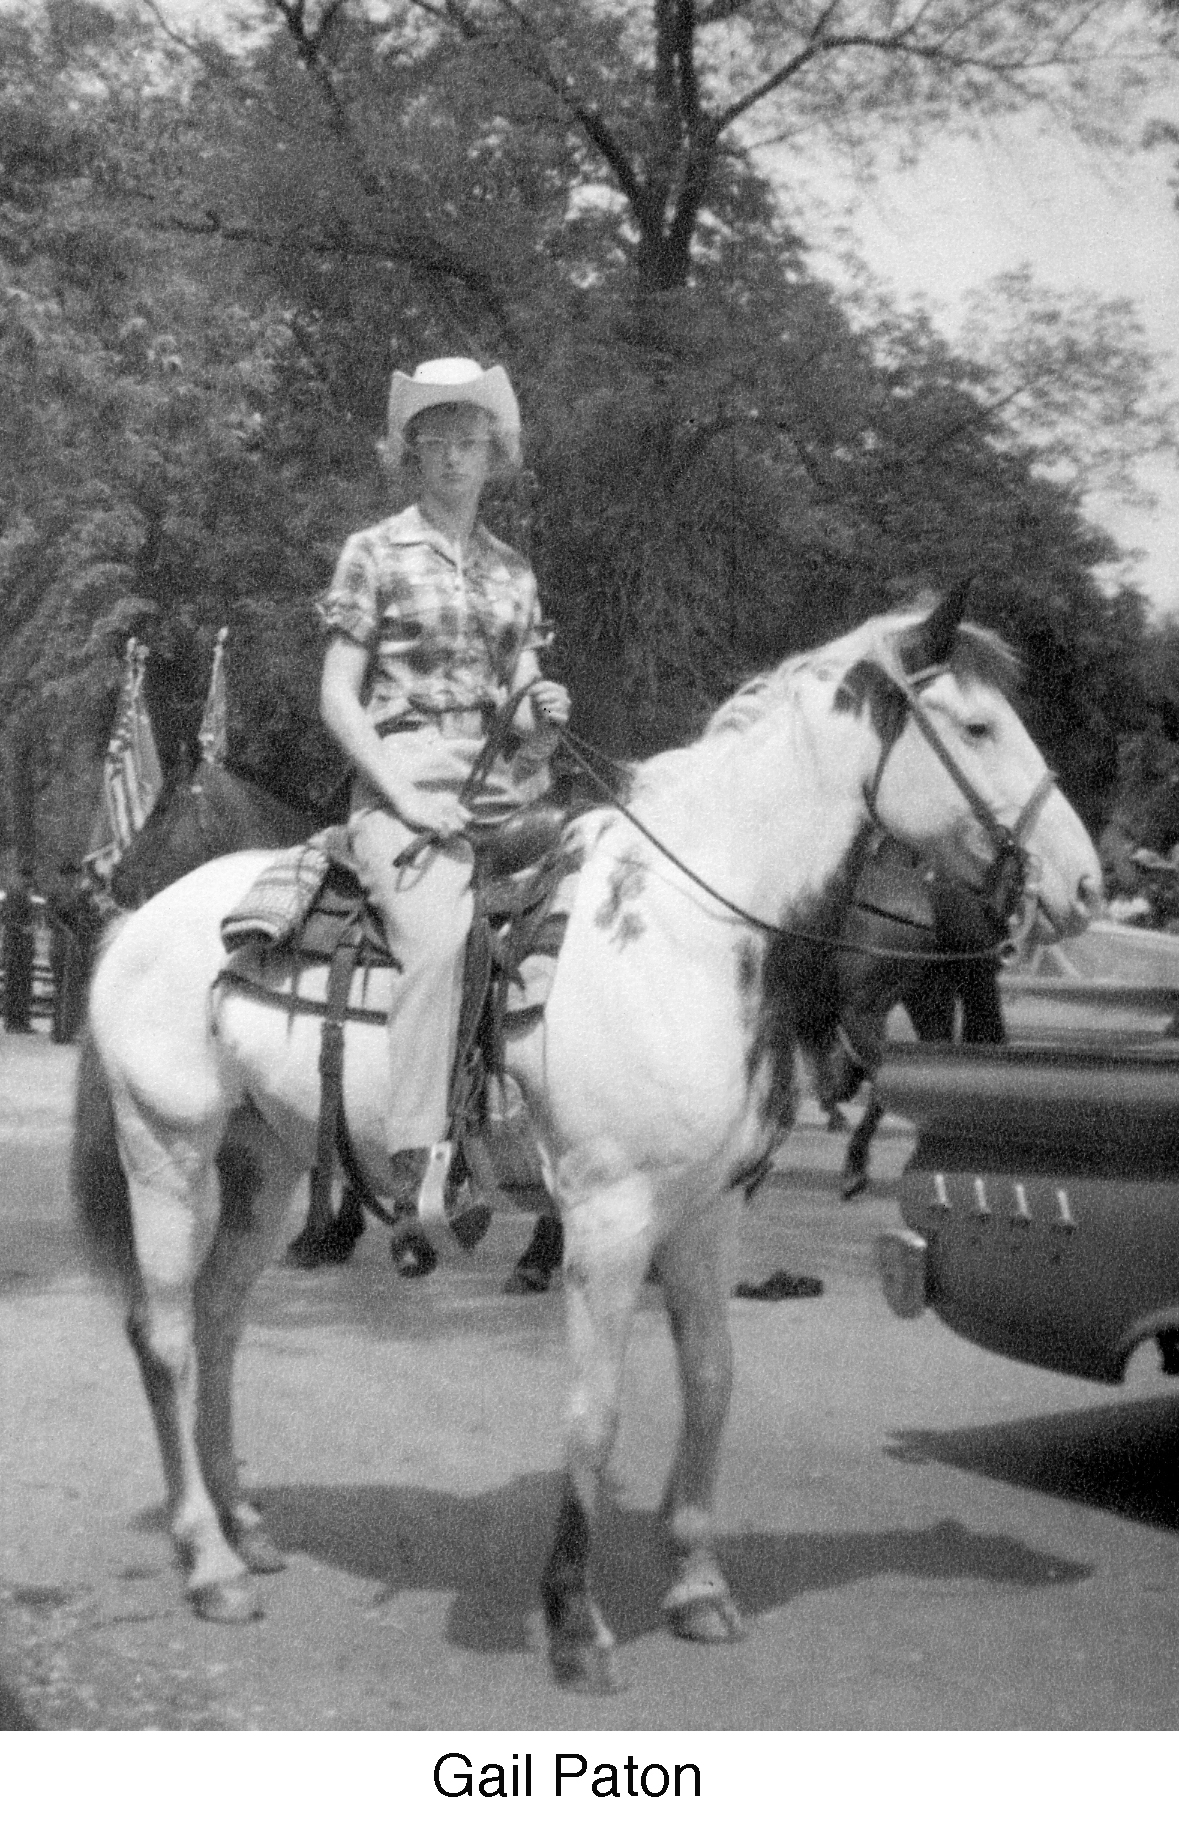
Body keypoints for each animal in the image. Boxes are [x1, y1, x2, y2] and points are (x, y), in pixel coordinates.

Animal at [73, 597, 1100, 1689]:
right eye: (979, 727)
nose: (1085, 883)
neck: (691, 932)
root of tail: (143, 920)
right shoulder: (610, 1216)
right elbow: (595, 1411)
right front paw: (572, 1617)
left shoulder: (707, 1213)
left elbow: (711, 1380)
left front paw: (697, 1584)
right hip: (167, 1149)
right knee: (166, 1333)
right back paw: (208, 1559)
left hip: (262, 1165)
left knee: (221, 1321)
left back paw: (245, 1524)